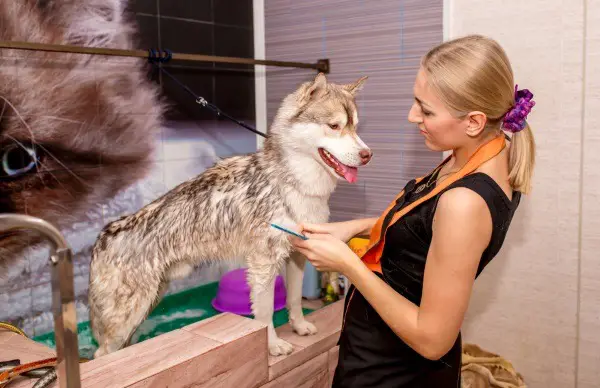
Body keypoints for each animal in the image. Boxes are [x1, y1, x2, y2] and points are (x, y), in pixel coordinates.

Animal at [89, 73, 372, 358]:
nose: (367, 155)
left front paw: (300, 327)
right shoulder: (262, 265)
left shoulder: (298, 255)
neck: (295, 184)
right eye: (334, 126)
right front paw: (273, 346)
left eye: (356, 127)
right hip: (131, 314)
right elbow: (265, 314)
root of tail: (103, 237)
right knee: (101, 354)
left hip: (149, 302)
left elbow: (293, 299)